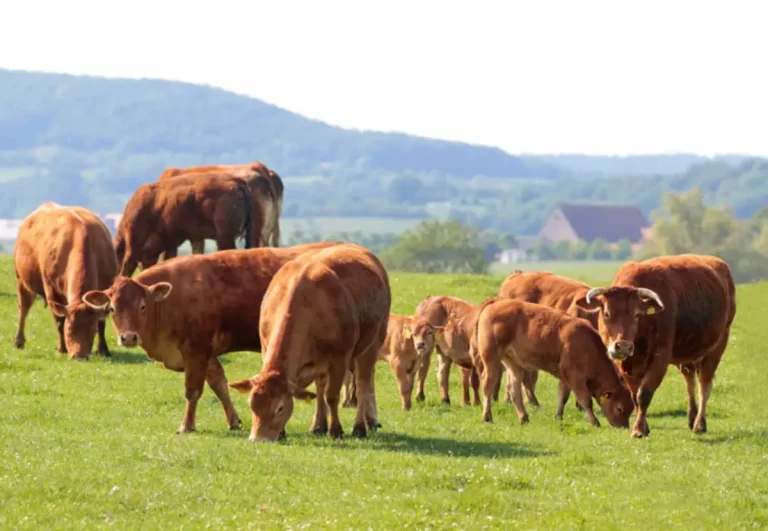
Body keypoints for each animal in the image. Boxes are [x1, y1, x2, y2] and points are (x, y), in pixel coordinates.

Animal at [13, 201, 117, 360]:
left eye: (92, 331)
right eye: (69, 329)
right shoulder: (52, 291)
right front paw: (61, 348)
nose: (79, 356)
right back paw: (19, 341)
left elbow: (101, 322)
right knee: (23, 308)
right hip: (22, 280)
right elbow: (59, 322)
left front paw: (103, 350)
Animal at [81, 242, 341, 434]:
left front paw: (187, 426)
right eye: (112, 308)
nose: (128, 337)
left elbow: (193, 391)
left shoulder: (196, 352)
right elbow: (219, 384)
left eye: (143, 306)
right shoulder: (207, 354)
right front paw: (234, 420)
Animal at [228, 243, 391, 442]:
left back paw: (359, 427)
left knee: (362, 385)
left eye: (280, 408)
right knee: (321, 386)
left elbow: (332, 396)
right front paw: (283, 432)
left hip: (371, 346)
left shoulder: (339, 360)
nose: (259, 438)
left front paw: (336, 430)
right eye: (251, 404)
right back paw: (318, 425)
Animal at [470, 297, 634, 428]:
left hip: (513, 363)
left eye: (631, 408)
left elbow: (563, 396)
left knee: (514, 389)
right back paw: (487, 417)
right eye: (619, 408)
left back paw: (524, 417)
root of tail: (496, 301)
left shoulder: (565, 376)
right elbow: (586, 400)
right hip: (491, 359)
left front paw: (558, 416)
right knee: (487, 385)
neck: (587, 345)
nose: (624, 427)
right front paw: (594, 422)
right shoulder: (575, 378)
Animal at [574, 254, 736, 438]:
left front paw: (638, 430)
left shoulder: (660, 358)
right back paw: (691, 417)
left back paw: (699, 423)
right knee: (690, 382)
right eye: (607, 313)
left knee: (704, 386)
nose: (623, 347)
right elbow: (635, 395)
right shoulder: (624, 364)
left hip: (717, 347)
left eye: (637, 315)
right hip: (687, 355)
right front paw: (644, 427)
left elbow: (644, 395)